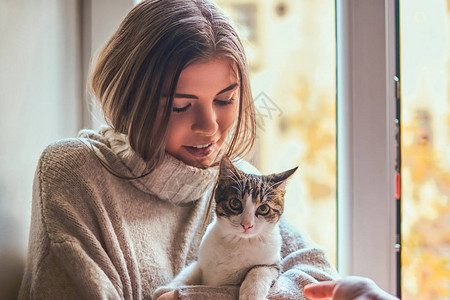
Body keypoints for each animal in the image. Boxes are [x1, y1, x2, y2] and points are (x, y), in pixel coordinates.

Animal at [167, 156, 298, 298]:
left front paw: (251, 295)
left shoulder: (274, 264)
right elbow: (190, 271)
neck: (239, 241)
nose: (246, 225)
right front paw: (167, 288)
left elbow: (259, 269)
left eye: (263, 209)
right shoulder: (202, 261)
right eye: (235, 203)